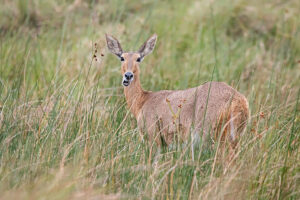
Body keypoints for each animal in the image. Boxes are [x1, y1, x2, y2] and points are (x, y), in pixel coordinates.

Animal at [105, 34, 248, 153]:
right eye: (122, 57)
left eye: (138, 58)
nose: (128, 76)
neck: (142, 101)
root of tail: (238, 100)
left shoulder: (153, 137)